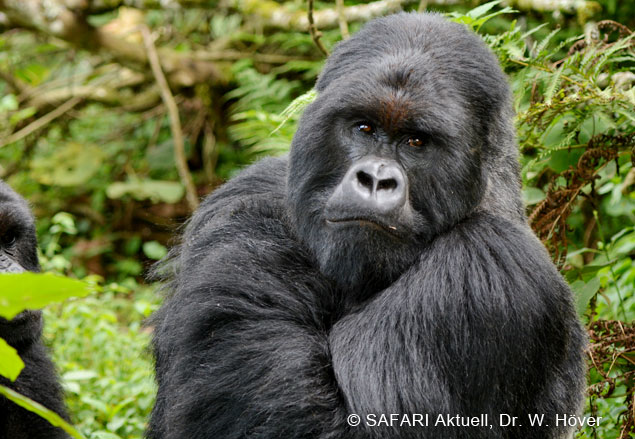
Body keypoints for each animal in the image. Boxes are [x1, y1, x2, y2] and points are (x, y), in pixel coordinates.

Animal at [148, 12, 588, 439]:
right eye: (364, 128)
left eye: (415, 142)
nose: (376, 179)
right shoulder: (249, 186)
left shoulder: (492, 263)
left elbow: (341, 423)